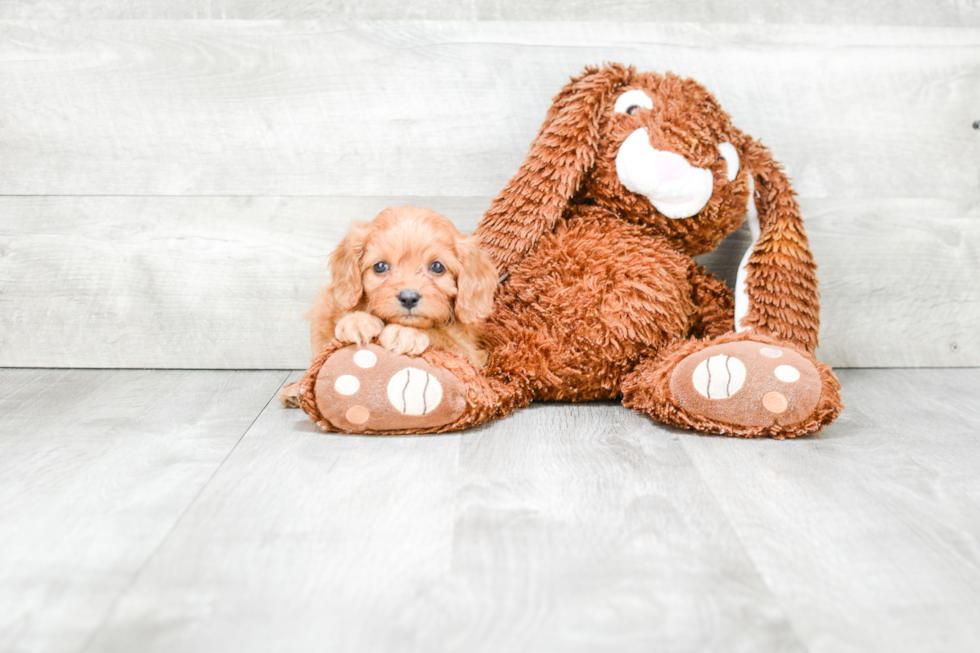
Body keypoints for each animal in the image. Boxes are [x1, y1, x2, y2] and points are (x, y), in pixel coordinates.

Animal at [284, 206, 498, 404]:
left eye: (437, 266)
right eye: (380, 266)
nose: (409, 297)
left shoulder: (472, 355)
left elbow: (443, 337)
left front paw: (404, 332)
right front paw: (358, 321)